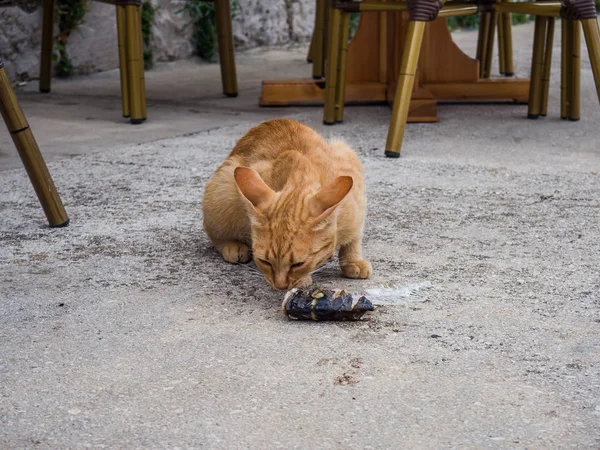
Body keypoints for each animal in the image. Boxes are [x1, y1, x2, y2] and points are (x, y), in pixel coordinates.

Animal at [202, 118, 370, 290]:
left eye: (298, 264)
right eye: (265, 262)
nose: (280, 286)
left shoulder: (351, 170)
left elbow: (355, 238)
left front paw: (353, 260)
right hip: (224, 188)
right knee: (213, 232)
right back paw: (231, 246)